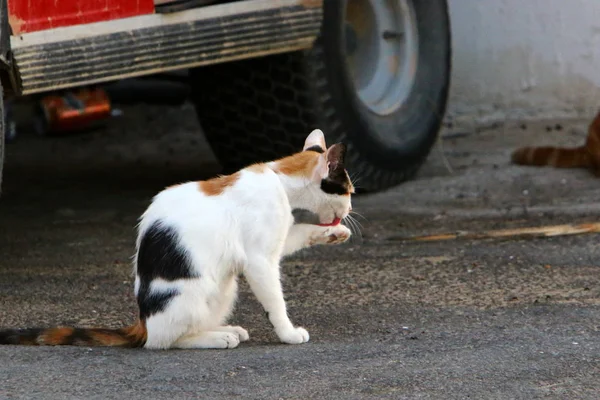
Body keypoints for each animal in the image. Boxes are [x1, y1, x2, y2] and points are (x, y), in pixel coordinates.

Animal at [0, 130, 354, 348]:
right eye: (349, 191)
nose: (350, 209)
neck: (279, 179)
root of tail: (142, 321)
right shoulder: (258, 260)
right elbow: (275, 300)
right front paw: (288, 332)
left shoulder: (277, 237)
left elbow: (297, 235)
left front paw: (333, 233)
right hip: (195, 289)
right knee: (163, 340)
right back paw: (216, 339)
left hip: (225, 287)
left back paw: (224, 329)